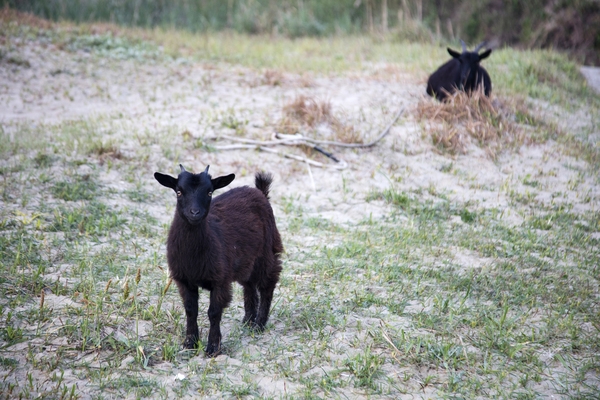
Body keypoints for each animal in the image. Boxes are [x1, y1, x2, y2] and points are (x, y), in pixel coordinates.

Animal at [156, 166, 284, 356]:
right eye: (179, 191)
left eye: (209, 192)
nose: (195, 213)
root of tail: (260, 192)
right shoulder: (184, 279)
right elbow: (190, 310)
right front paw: (190, 343)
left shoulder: (220, 280)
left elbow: (214, 313)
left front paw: (212, 348)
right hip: (245, 260)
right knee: (249, 285)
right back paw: (248, 320)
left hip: (267, 252)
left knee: (267, 284)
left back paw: (259, 324)